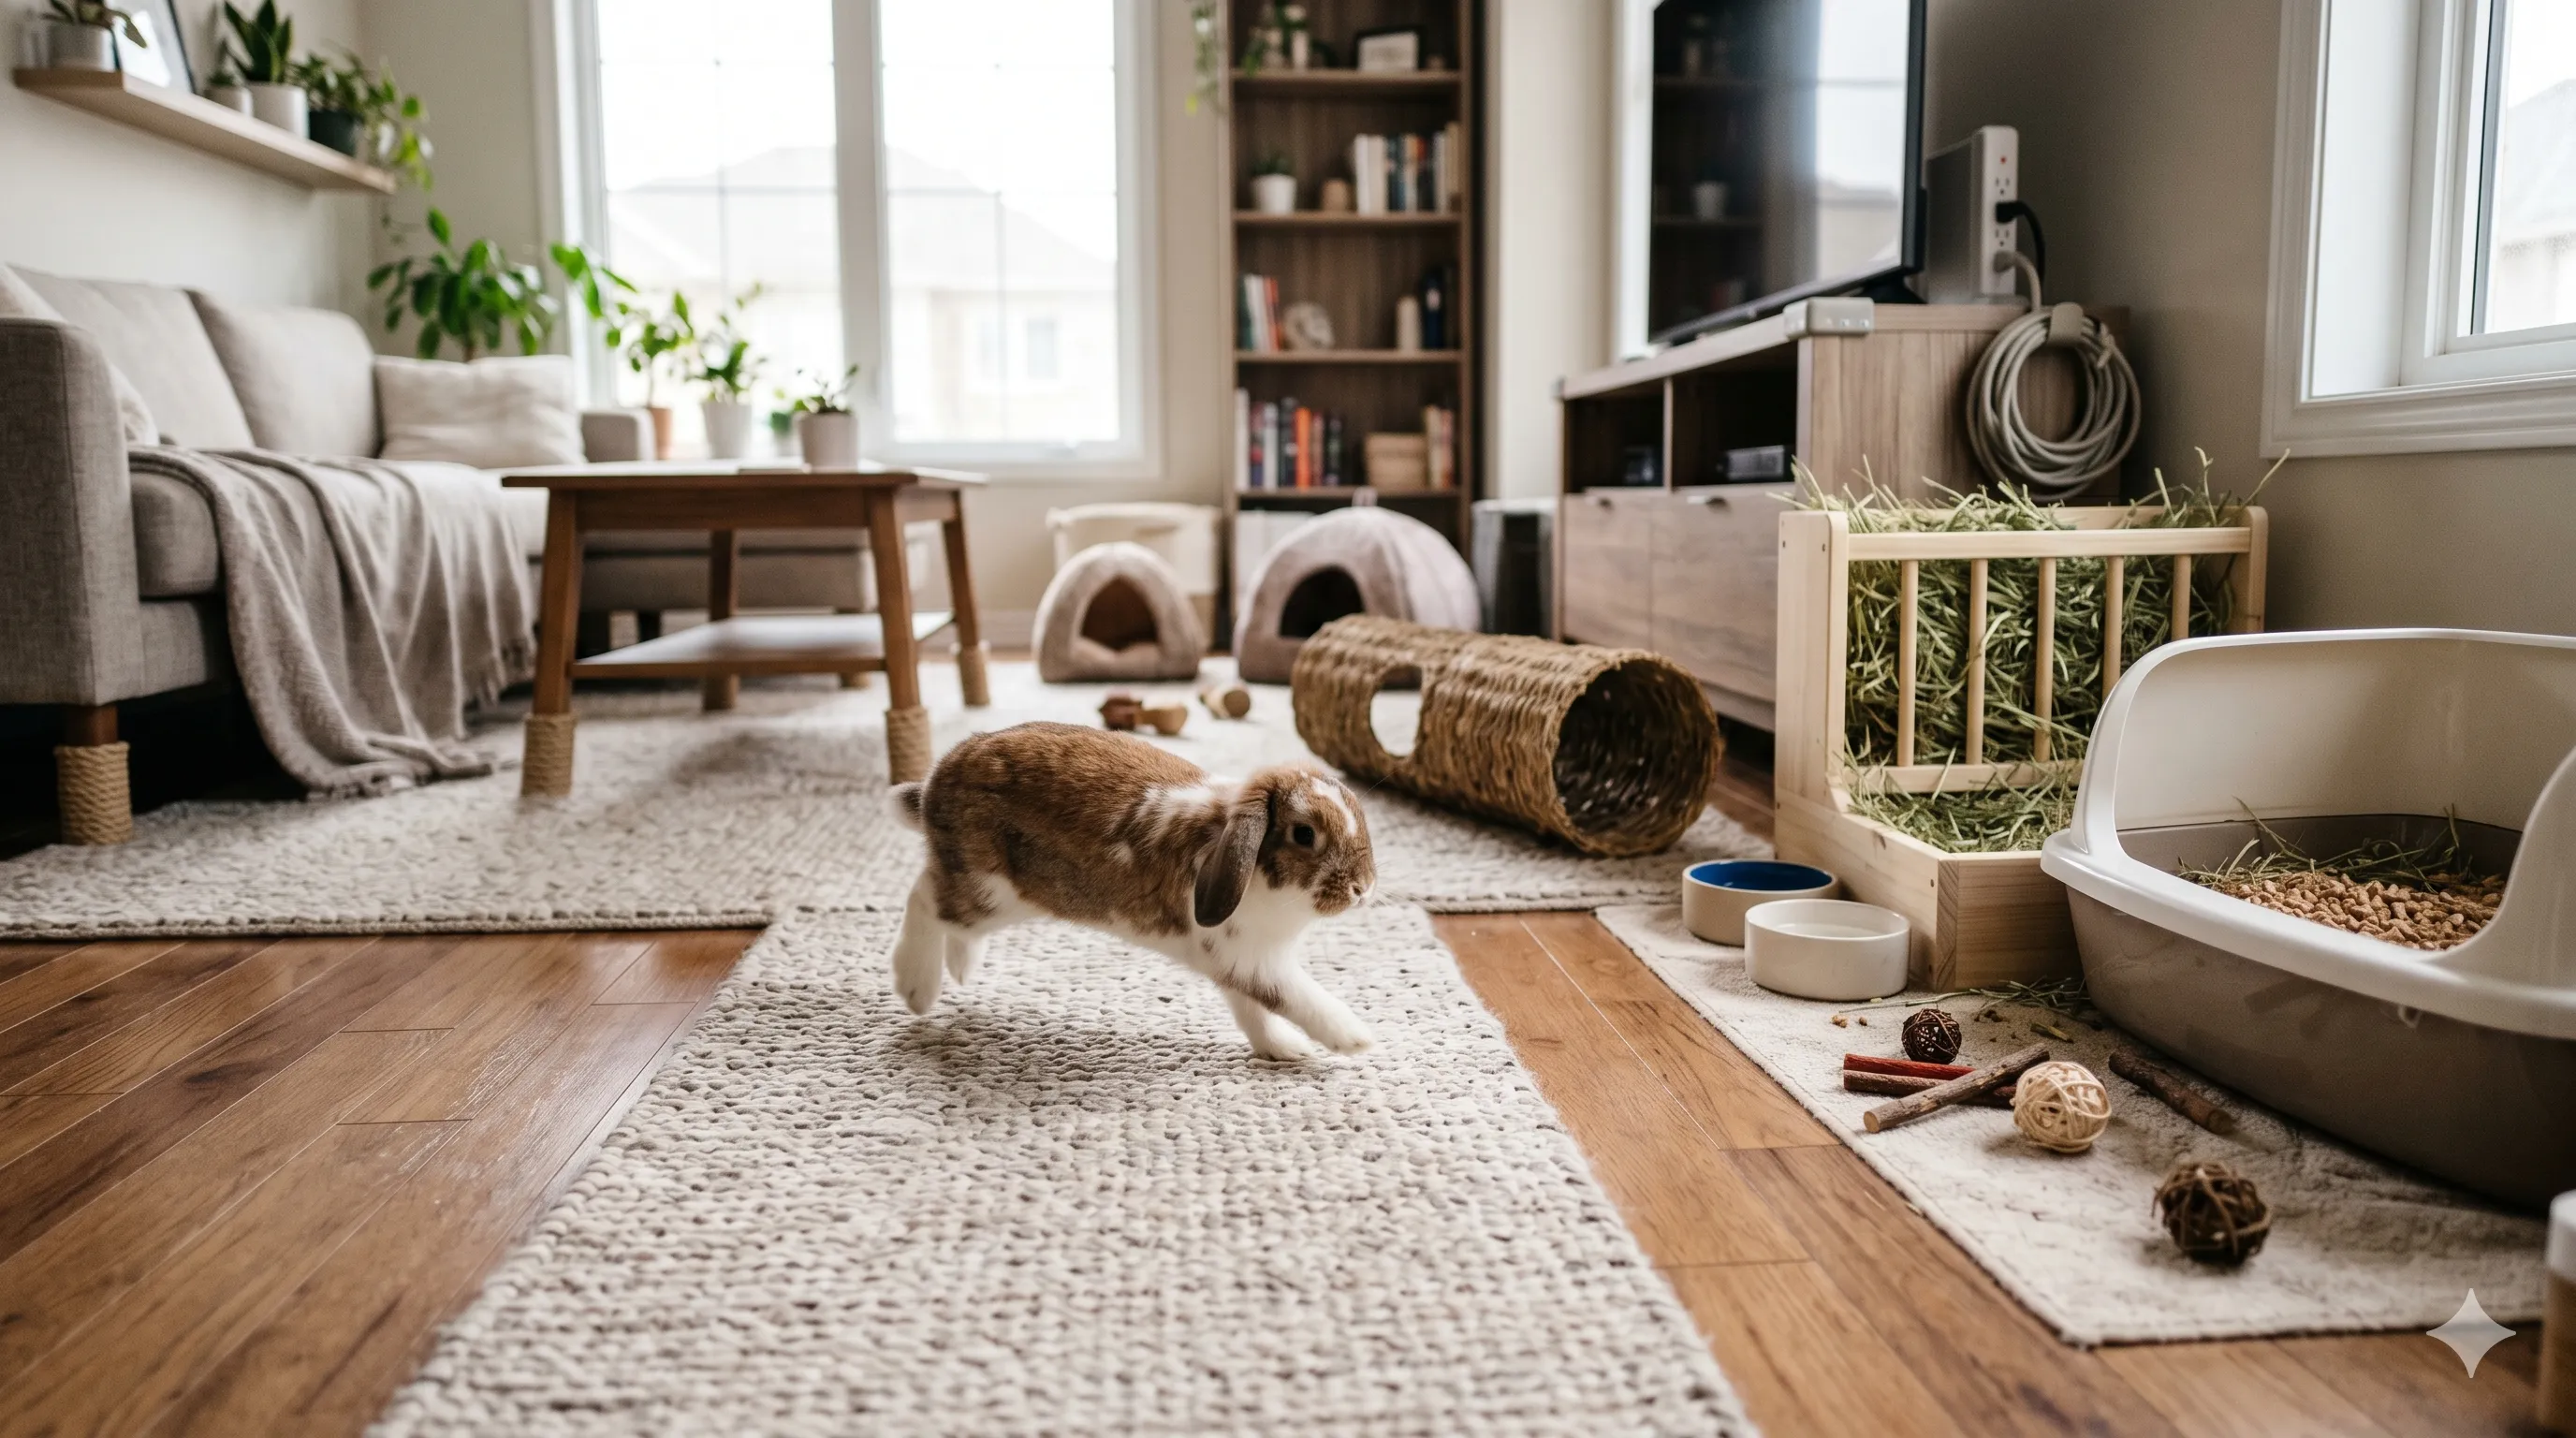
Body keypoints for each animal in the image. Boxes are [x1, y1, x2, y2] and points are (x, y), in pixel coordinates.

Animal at [887, 721, 1377, 1059]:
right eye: (1304, 834)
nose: (1364, 888)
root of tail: (932, 787)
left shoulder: (1239, 964)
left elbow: (1252, 1012)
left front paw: (1285, 1049)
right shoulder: (1255, 961)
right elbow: (1298, 997)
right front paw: (1354, 1037)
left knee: (941, 901)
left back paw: (962, 967)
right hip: (992, 891)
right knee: (924, 898)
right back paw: (917, 989)